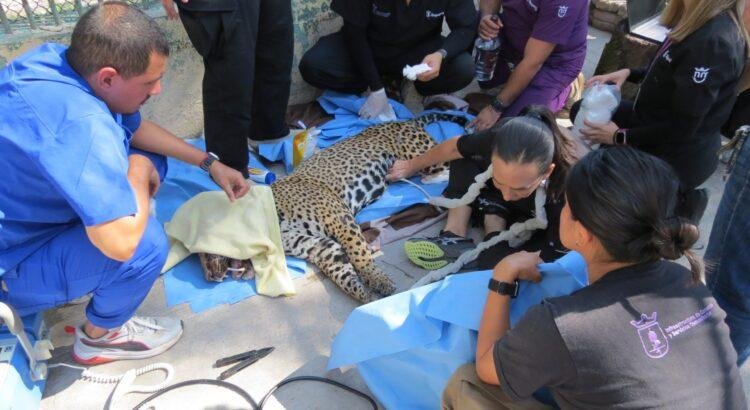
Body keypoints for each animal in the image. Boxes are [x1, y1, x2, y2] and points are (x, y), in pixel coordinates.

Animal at [201, 113, 468, 303]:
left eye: (203, 252)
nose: (209, 278)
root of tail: (405, 120)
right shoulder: (319, 246)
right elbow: (342, 271)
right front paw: (363, 295)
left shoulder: (340, 219)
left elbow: (359, 255)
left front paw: (377, 279)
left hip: (422, 152)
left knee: (451, 152)